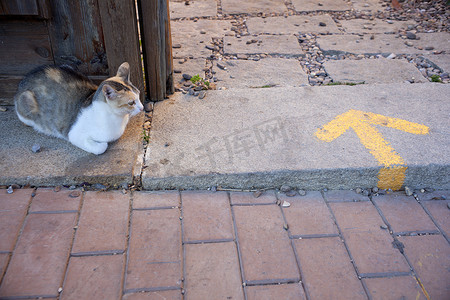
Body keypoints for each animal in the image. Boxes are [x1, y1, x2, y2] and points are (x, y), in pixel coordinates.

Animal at [14, 61, 143, 155]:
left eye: (139, 95)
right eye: (131, 102)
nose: (142, 108)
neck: (117, 119)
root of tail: (23, 81)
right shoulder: (74, 134)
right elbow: (101, 147)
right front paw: (102, 144)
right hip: (26, 100)